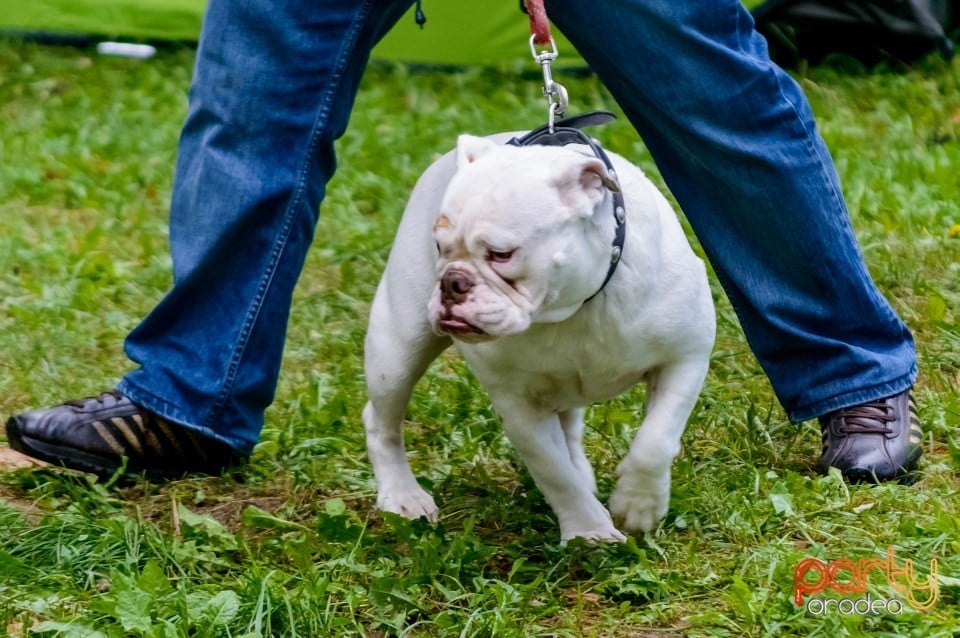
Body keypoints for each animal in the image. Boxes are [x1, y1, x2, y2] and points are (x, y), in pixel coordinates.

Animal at [360, 130, 712, 544]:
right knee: (382, 421)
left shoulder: (685, 358)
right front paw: (589, 533)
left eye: (502, 254)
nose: (451, 281)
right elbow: (554, 471)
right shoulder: (518, 404)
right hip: (396, 352)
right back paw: (402, 495)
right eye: (439, 248)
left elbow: (655, 441)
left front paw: (637, 505)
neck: (574, 305)